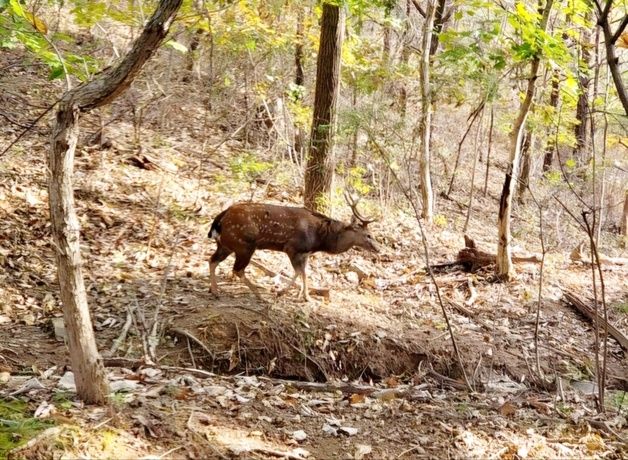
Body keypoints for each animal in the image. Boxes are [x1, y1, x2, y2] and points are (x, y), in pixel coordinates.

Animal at [209, 194, 380, 302]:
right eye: (368, 235)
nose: (378, 249)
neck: (320, 239)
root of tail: (221, 217)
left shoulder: (305, 253)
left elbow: (305, 273)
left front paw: (306, 297)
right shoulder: (292, 247)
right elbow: (298, 272)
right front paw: (281, 292)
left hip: (226, 244)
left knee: (212, 260)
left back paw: (215, 291)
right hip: (245, 245)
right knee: (237, 269)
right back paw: (259, 295)